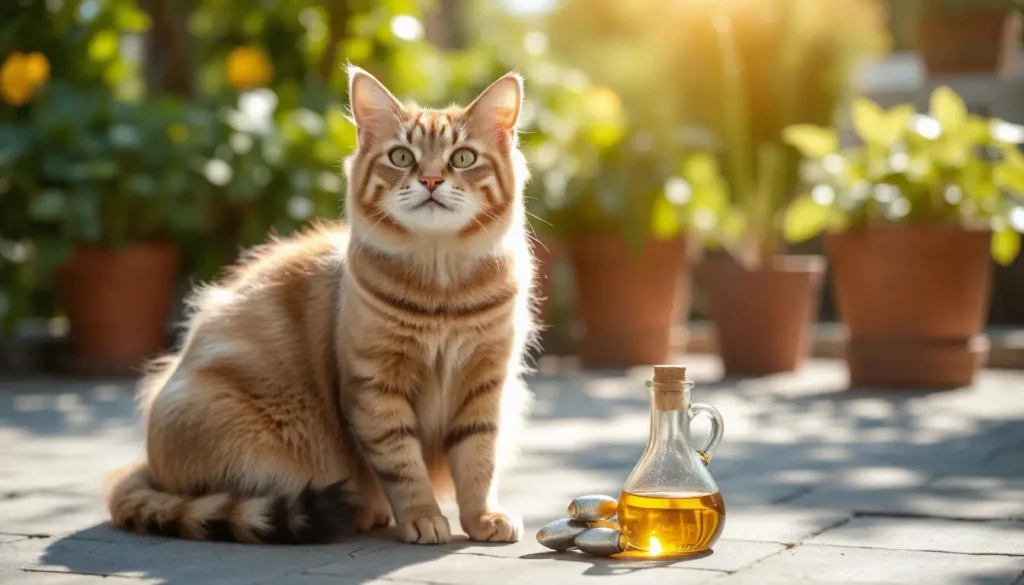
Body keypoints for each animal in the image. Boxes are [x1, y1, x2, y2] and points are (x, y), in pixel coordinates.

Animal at [104, 66, 540, 549]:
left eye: (462, 158)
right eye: (401, 157)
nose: (429, 181)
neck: (441, 291)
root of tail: (146, 467)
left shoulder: (486, 382)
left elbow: (479, 462)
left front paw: (484, 517)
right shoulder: (375, 387)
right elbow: (404, 468)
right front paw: (423, 518)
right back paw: (364, 513)